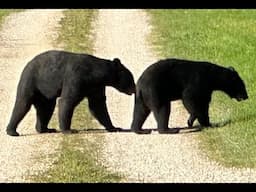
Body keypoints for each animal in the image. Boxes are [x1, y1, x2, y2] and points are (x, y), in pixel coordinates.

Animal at [6, 50, 136, 136]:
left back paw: (45, 129)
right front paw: (69, 130)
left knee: (46, 108)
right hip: (31, 81)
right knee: (22, 104)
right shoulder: (76, 78)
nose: (134, 89)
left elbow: (98, 105)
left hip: (45, 93)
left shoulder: (96, 87)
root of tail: (27, 64)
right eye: (131, 79)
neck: (95, 74)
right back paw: (12, 131)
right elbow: (67, 100)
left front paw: (114, 127)